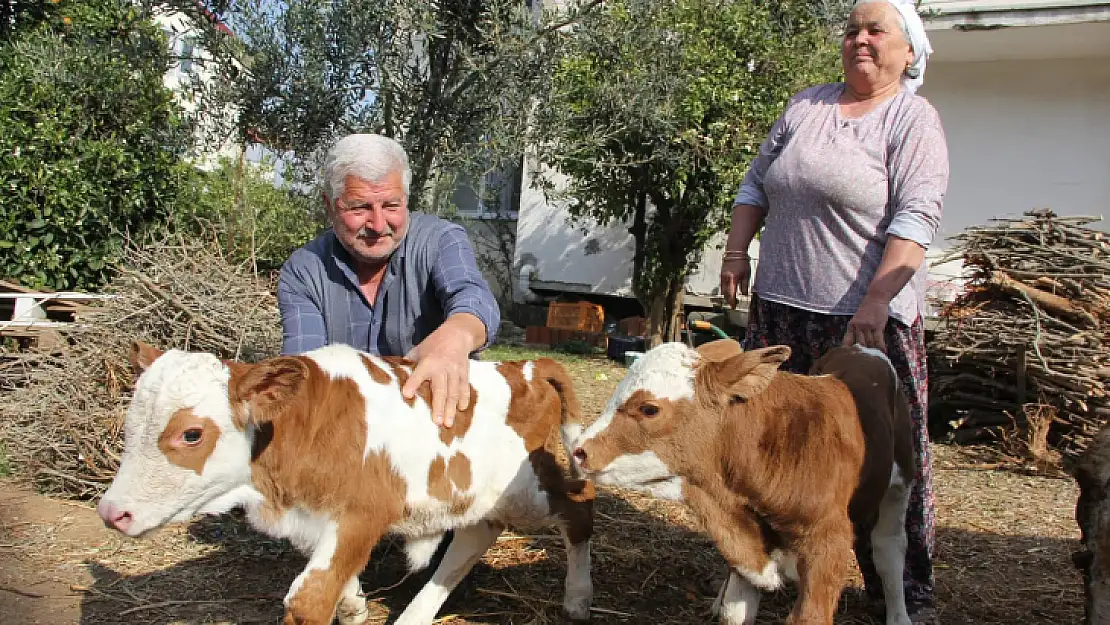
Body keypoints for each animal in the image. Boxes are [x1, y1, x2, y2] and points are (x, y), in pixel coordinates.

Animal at [99, 341, 594, 625]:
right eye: (131, 424)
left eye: (191, 434)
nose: (112, 512)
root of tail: (525, 365)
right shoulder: (316, 521)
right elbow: (334, 579)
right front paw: (353, 603)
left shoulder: (363, 512)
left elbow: (307, 600)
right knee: (473, 537)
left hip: (527, 488)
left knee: (578, 508)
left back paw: (578, 599)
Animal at [572, 341, 910, 625]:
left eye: (649, 408)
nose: (579, 450)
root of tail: (862, 349)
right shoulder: (741, 534)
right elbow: (734, 611)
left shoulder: (828, 544)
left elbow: (810, 615)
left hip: (901, 484)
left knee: (889, 548)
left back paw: (899, 616)